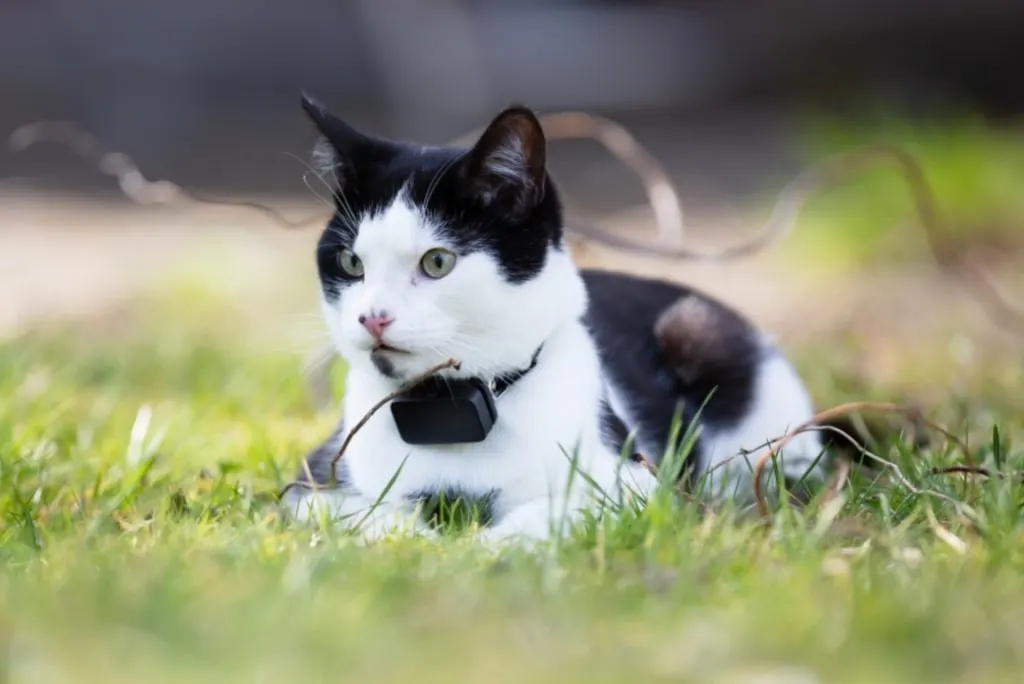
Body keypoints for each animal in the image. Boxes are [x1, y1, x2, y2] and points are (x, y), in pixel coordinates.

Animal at [284, 94, 827, 544]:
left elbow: (554, 510)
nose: (372, 318)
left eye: (438, 262)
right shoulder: (311, 485)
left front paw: (482, 548)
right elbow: (365, 513)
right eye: (351, 263)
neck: (448, 411)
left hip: (708, 345)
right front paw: (421, 542)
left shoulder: (635, 482)